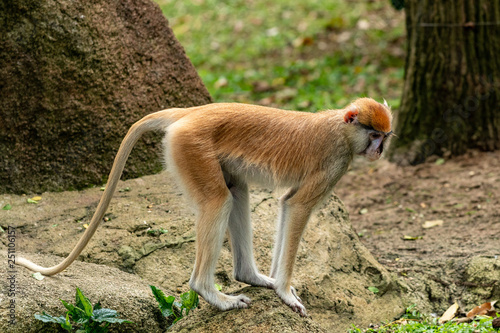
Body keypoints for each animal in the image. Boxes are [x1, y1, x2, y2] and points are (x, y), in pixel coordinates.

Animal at [15, 97, 392, 316]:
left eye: (384, 137)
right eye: (374, 135)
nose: (379, 151)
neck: (340, 128)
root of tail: (190, 112)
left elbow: (286, 204)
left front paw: (275, 285)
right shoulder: (334, 161)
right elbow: (299, 206)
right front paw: (286, 293)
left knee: (236, 192)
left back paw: (250, 276)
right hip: (190, 147)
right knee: (218, 201)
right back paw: (213, 294)